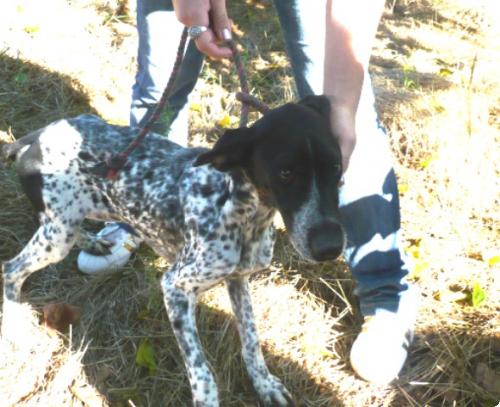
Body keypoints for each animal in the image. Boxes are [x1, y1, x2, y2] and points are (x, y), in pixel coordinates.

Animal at [0, 95, 344, 404]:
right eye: (285, 172)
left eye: (337, 166)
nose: (330, 247)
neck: (238, 208)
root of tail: (36, 137)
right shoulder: (175, 287)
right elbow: (203, 372)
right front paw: (208, 400)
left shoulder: (238, 280)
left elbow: (251, 341)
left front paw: (264, 384)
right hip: (57, 236)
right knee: (11, 269)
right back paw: (16, 325)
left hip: (68, 223)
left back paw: (95, 242)